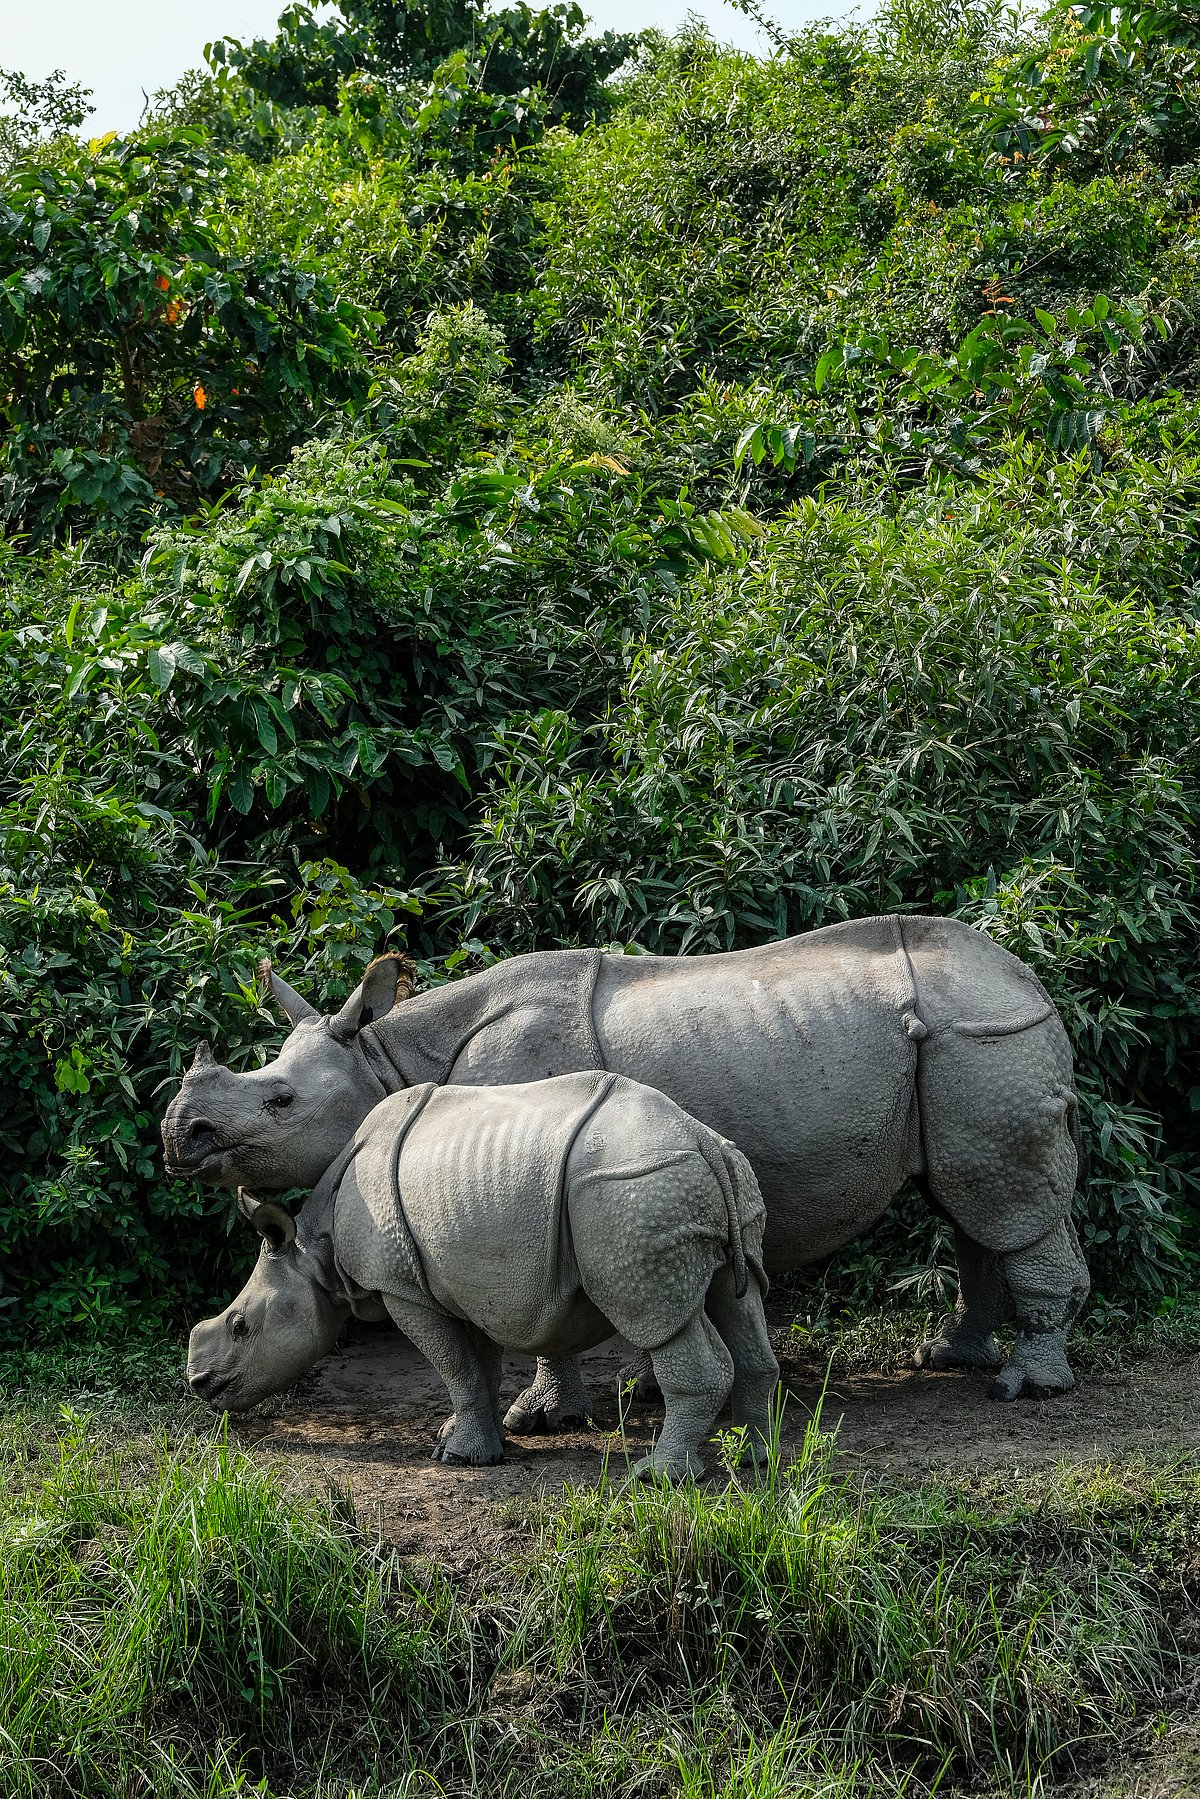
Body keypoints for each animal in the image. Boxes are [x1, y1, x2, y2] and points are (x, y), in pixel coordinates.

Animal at [164, 914, 1090, 1416]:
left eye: (280, 1101)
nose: (180, 1131)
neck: (388, 1059)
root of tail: (1030, 981)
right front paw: (630, 1394)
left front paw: (541, 1416)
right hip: (964, 1048)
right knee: (965, 1203)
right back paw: (953, 1358)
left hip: (983, 1039)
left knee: (1000, 1200)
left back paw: (1024, 1386)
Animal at [186, 1072, 778, 1478]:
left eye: (240, 1326)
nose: (200, 1386)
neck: (314, 1252)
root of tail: (702, 1141)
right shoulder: (460, 1277)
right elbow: (477, 1367)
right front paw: (473, 1442)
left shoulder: (404, 1288)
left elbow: (455, 1366)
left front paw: (457, 1456)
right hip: (704, 1180)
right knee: (739, 1300)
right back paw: (754, 1457)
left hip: (631, 1189)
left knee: (657, 1316)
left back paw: (659, 1478)